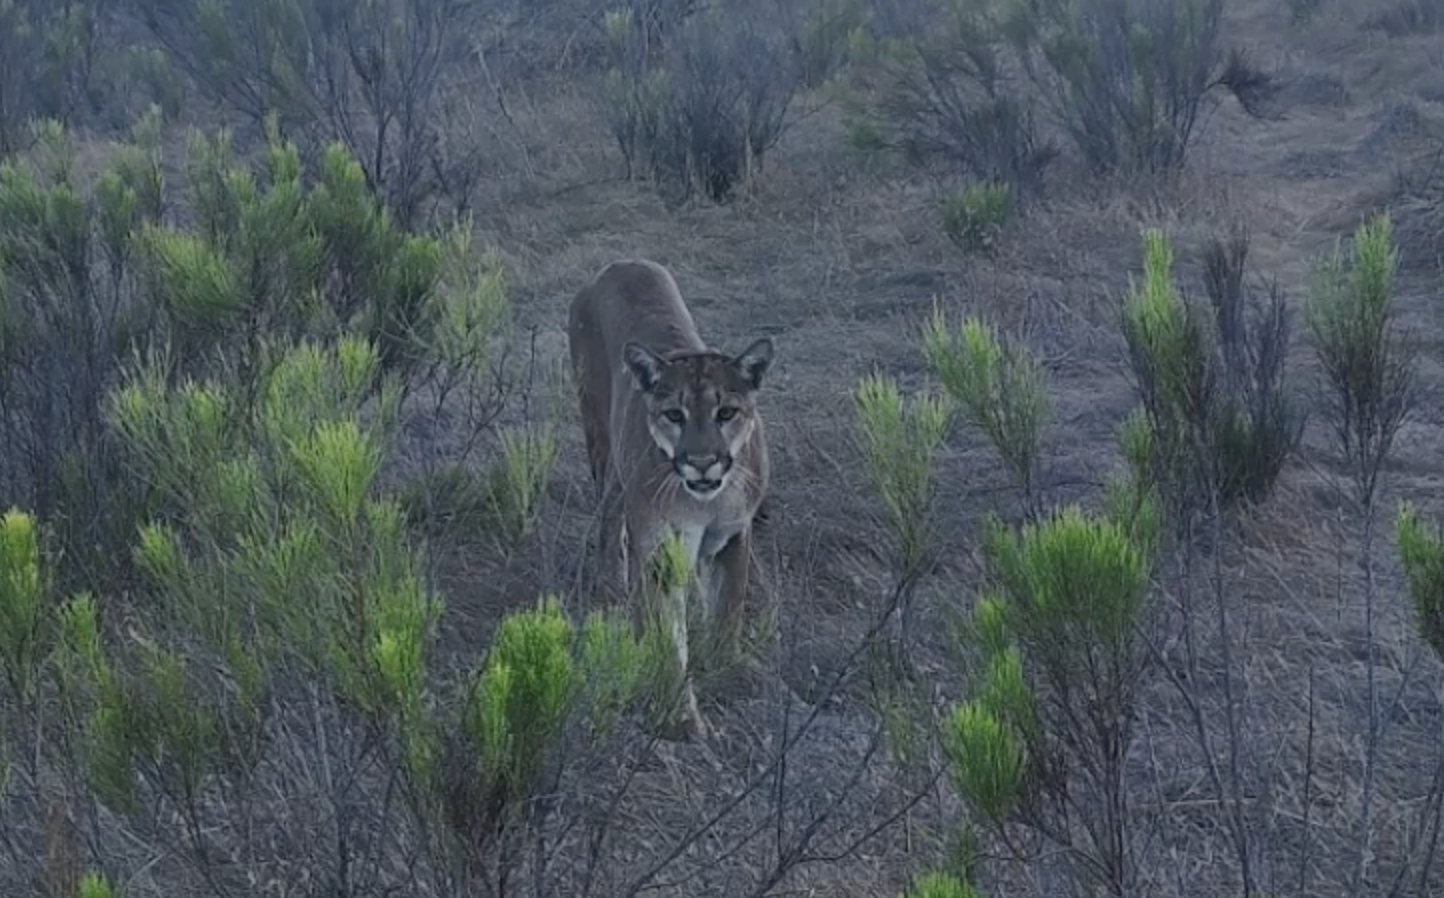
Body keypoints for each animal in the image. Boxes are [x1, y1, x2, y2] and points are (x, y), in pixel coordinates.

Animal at [567, 258, 775, 740]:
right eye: (674, 415)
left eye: (726, 412)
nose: (701, 463)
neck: (704, 502)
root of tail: (619, 263)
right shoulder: (658, 550)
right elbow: (665, 633)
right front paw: (680, 716)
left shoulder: (733, 536)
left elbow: (728, 610)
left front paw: (728, 668)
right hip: (602, 441)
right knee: (609, 517)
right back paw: (611, 583)